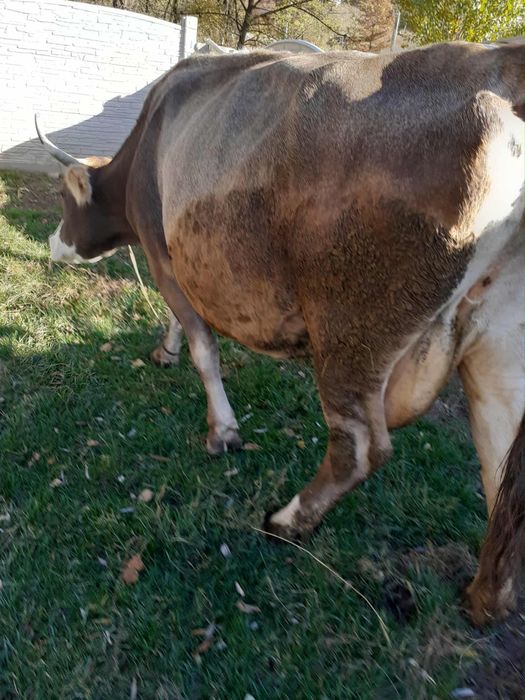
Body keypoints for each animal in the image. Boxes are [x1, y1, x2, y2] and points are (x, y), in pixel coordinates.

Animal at [36, 39, 524, 626]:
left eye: (66, 202)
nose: (51, 244)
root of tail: (501, 67)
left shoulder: (161, 251)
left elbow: (204, 346)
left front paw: (222, 430)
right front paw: (164, 350)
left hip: (352, 329)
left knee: (361, 446)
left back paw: (285, 521)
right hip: (500, 348)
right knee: (505, 474)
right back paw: (486, 598)